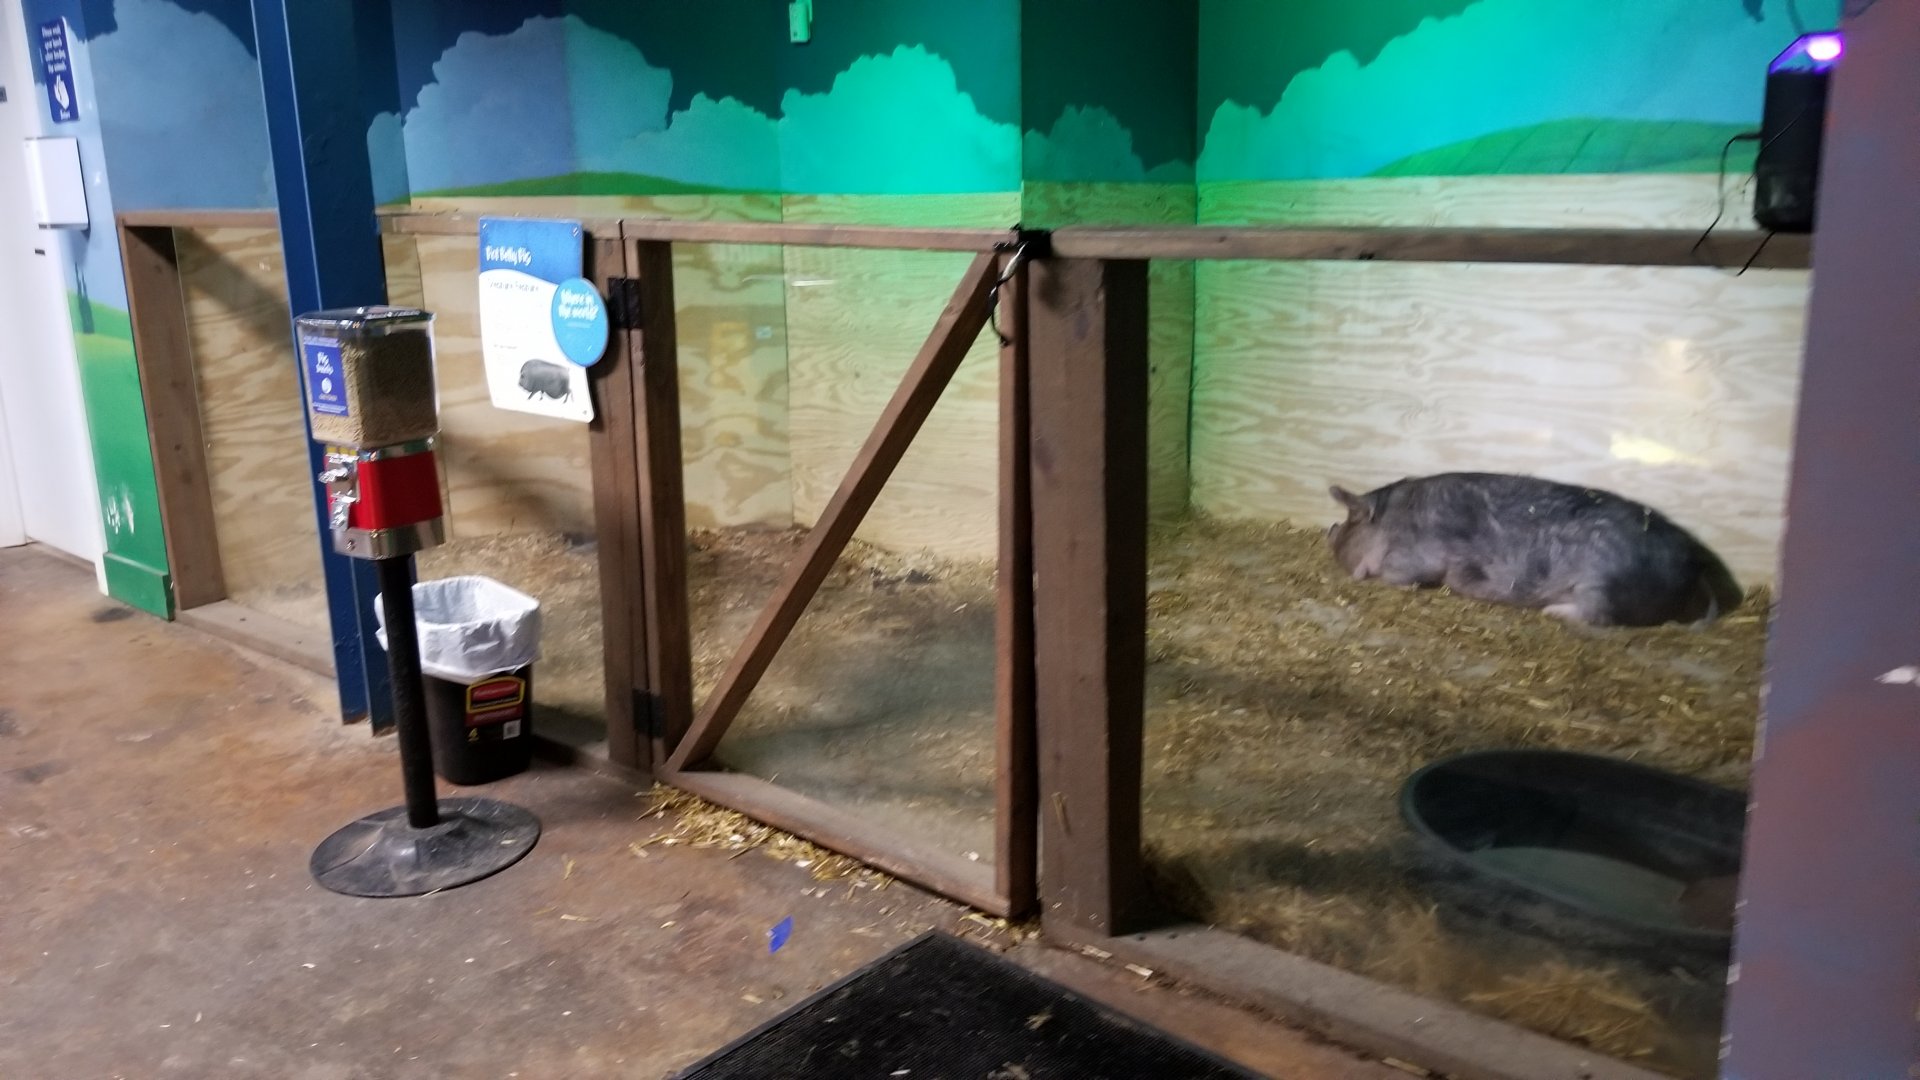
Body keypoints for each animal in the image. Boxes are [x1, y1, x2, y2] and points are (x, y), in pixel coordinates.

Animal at [1326, 472, 1743, 628]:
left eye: (1348, 524)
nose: (1329, 531)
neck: (1394, 518)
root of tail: (1694, 568)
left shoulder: (1418, 554)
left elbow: (1403, 577)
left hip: (1602, 585)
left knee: (1599, 617)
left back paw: (1553, 611)